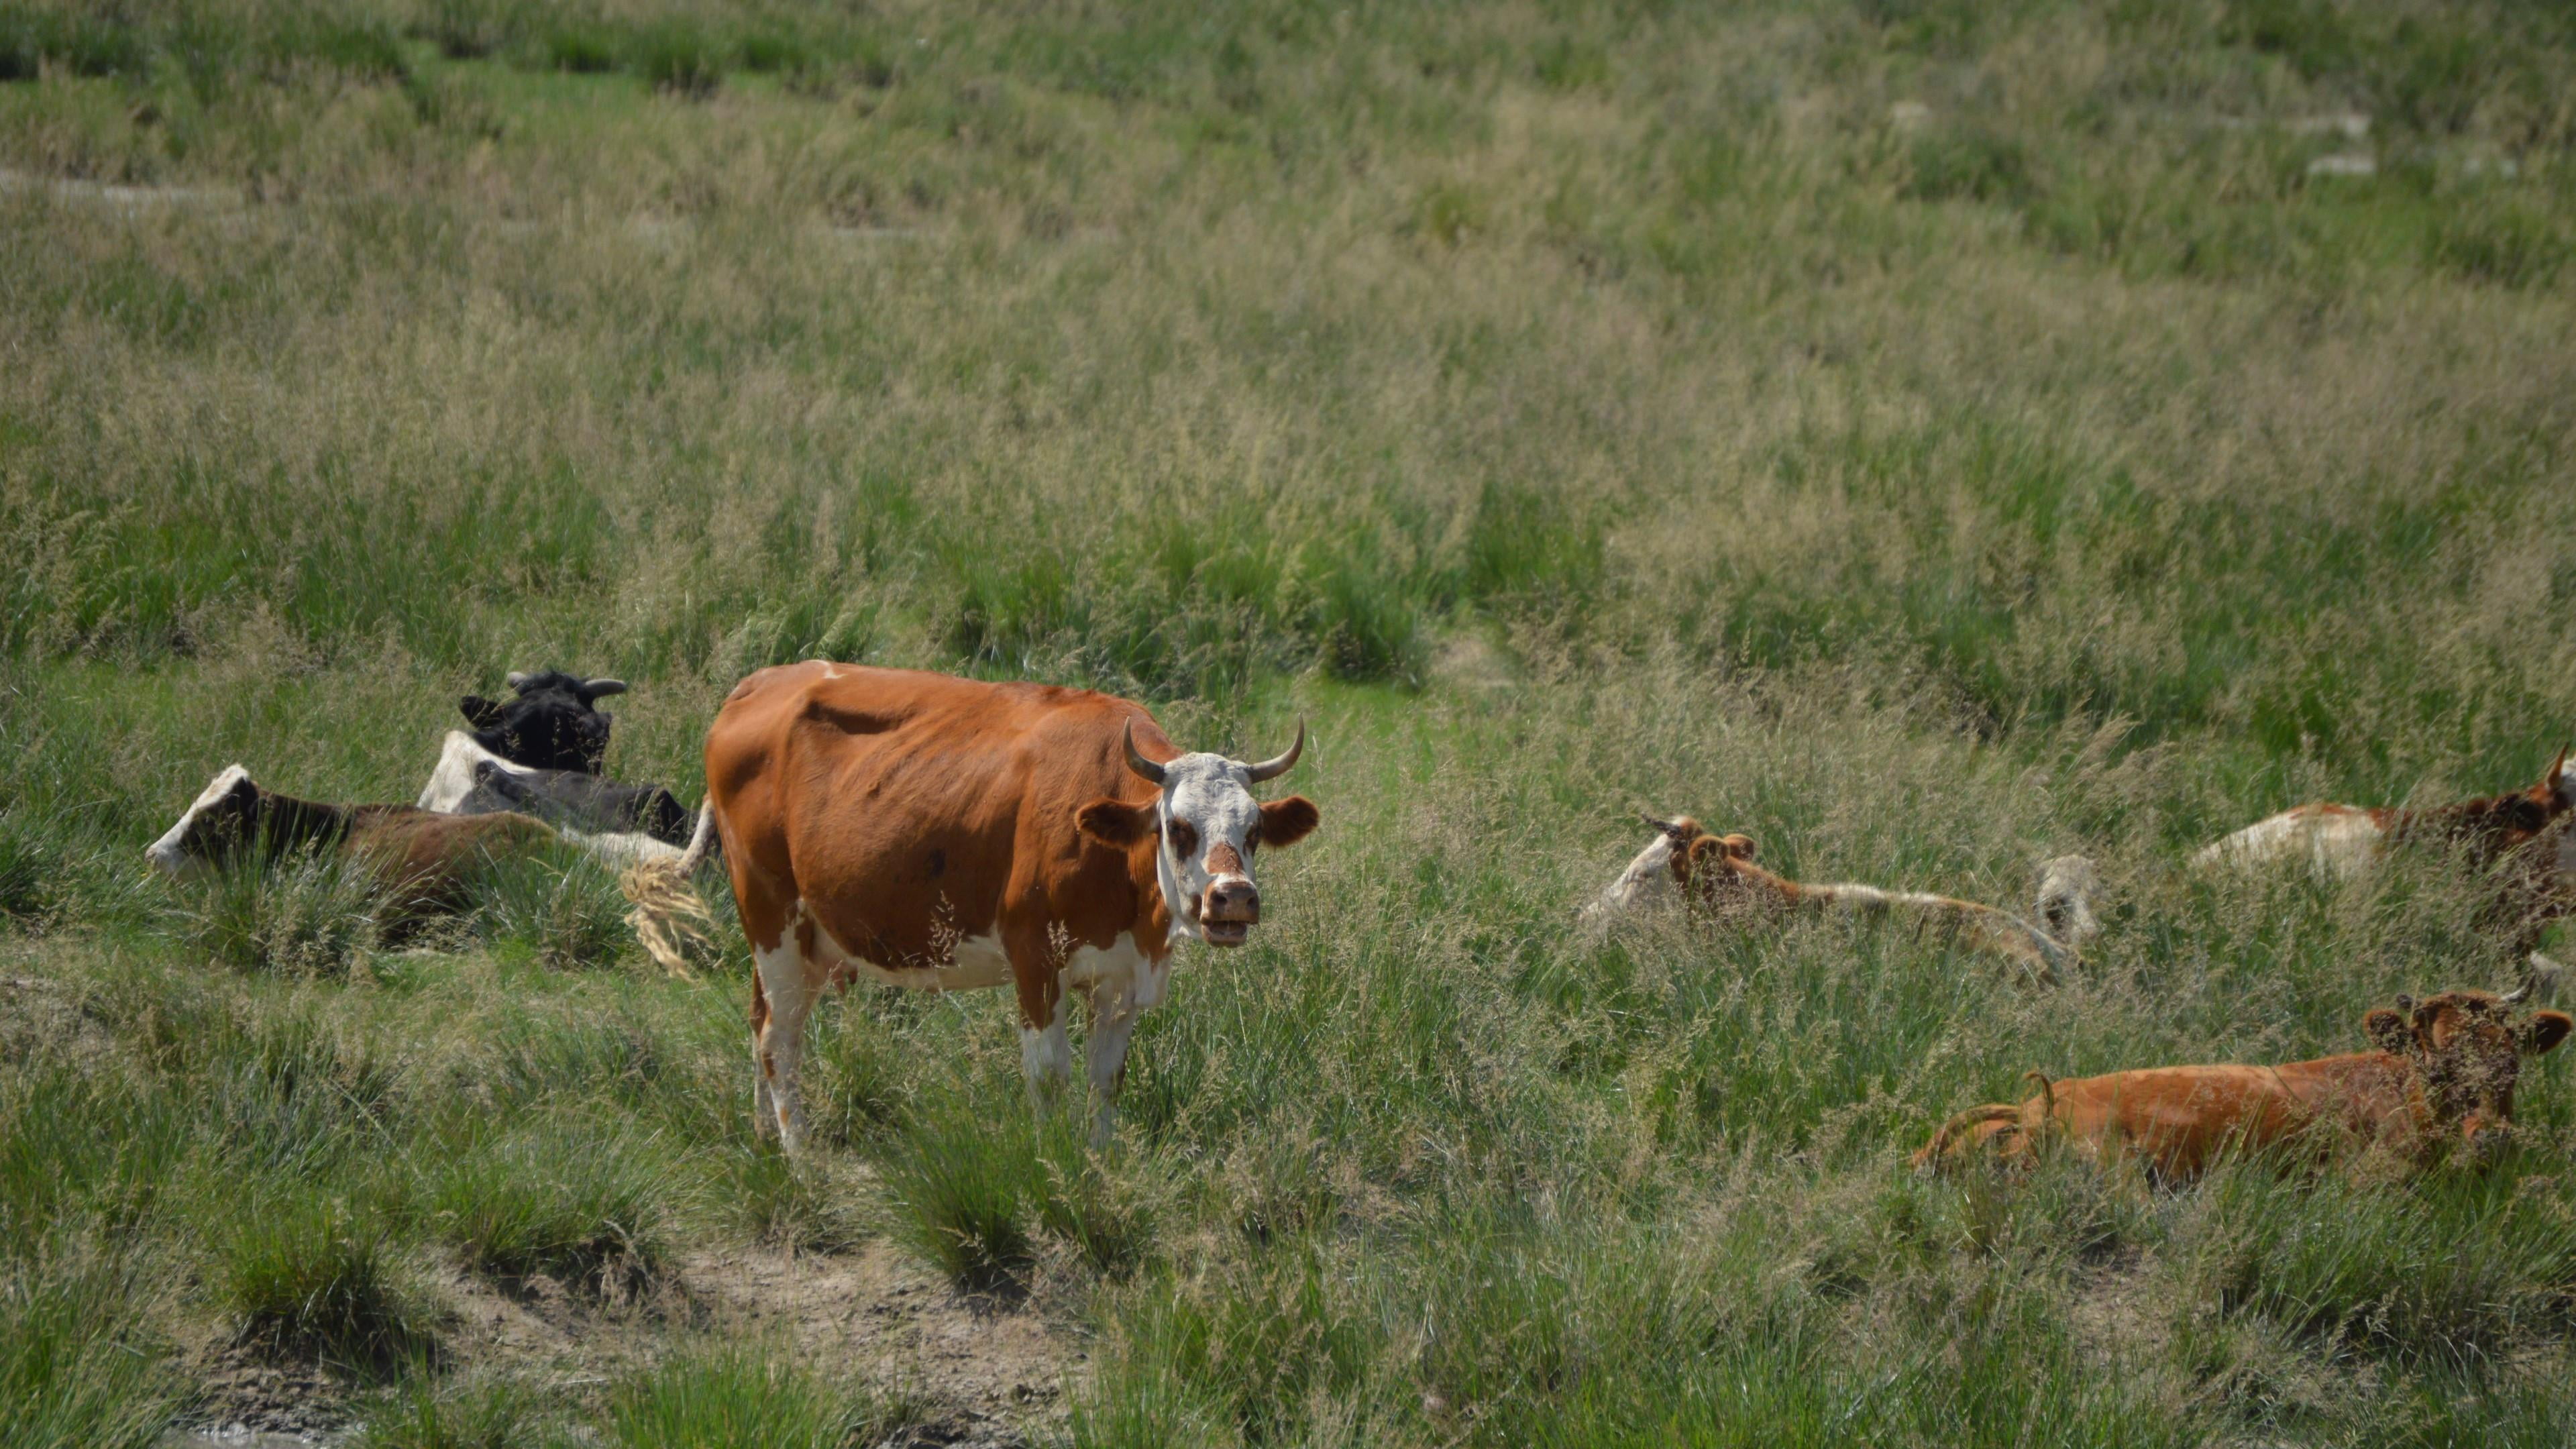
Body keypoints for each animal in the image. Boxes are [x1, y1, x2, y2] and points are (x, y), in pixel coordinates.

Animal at [620, 663, 1320, 1151]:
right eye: (1177, 828)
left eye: (1255, 830)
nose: (1233, 898)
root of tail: (757, 684)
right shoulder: (1035, 959)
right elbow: (1049, 1075)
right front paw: (1054, 1165)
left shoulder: (1121, 979)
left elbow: (1106, 1078)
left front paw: (1100, 1163)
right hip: (772, 913)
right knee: (778, 1038)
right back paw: (800, 1157)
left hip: (804, 937)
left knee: (760, 1020)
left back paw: (766, 1138)